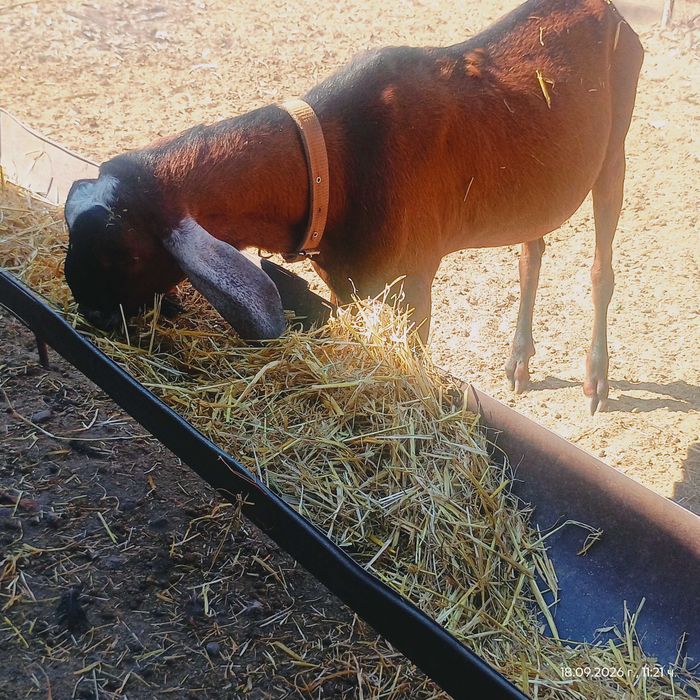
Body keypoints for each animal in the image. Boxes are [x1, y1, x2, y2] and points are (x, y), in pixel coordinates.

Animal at [63, 0, 644, 413]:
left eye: (122, 252)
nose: (88, 310)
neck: (332, 162)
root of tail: (604, 8)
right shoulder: (348, 283)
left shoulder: (414, 283)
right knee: (531, 251)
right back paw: (519, 363)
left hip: (615, 146)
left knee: (602, 266)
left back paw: (595, 379)